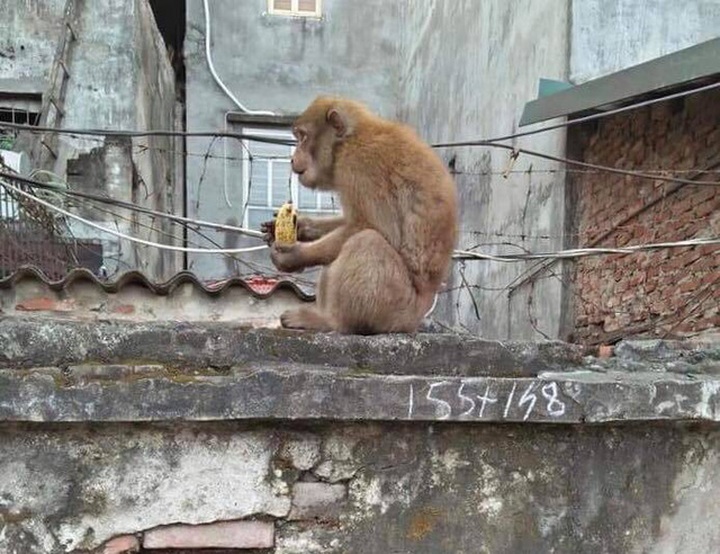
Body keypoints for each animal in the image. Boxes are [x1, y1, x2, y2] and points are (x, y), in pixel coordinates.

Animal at [261, 96, 458, 334]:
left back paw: (331, 322)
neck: (349, 139)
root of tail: (417, 318)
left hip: (396, 311)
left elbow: (372, 226)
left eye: (303, 137)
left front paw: (295, 256)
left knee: (367, 241)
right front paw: (300, 227)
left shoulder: (360, 164)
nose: (292, 159)